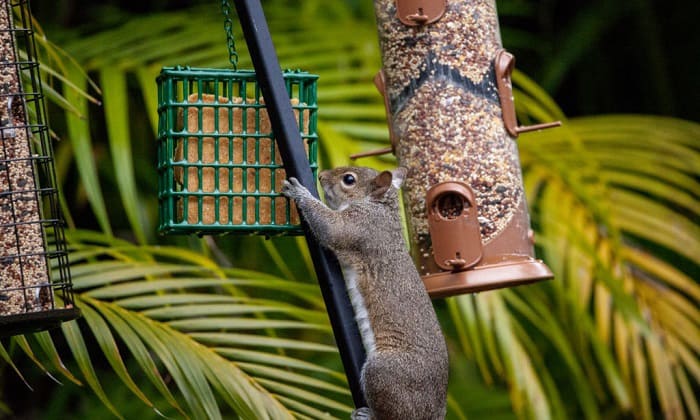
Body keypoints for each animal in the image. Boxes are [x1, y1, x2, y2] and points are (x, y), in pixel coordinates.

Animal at [284, 167, 448, 420]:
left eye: (349, 179)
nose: (321, 176)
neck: (379, 207)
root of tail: (433, 413)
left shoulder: (360, 227)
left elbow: (331, 228)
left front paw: (299, 192)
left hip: (383, 374)